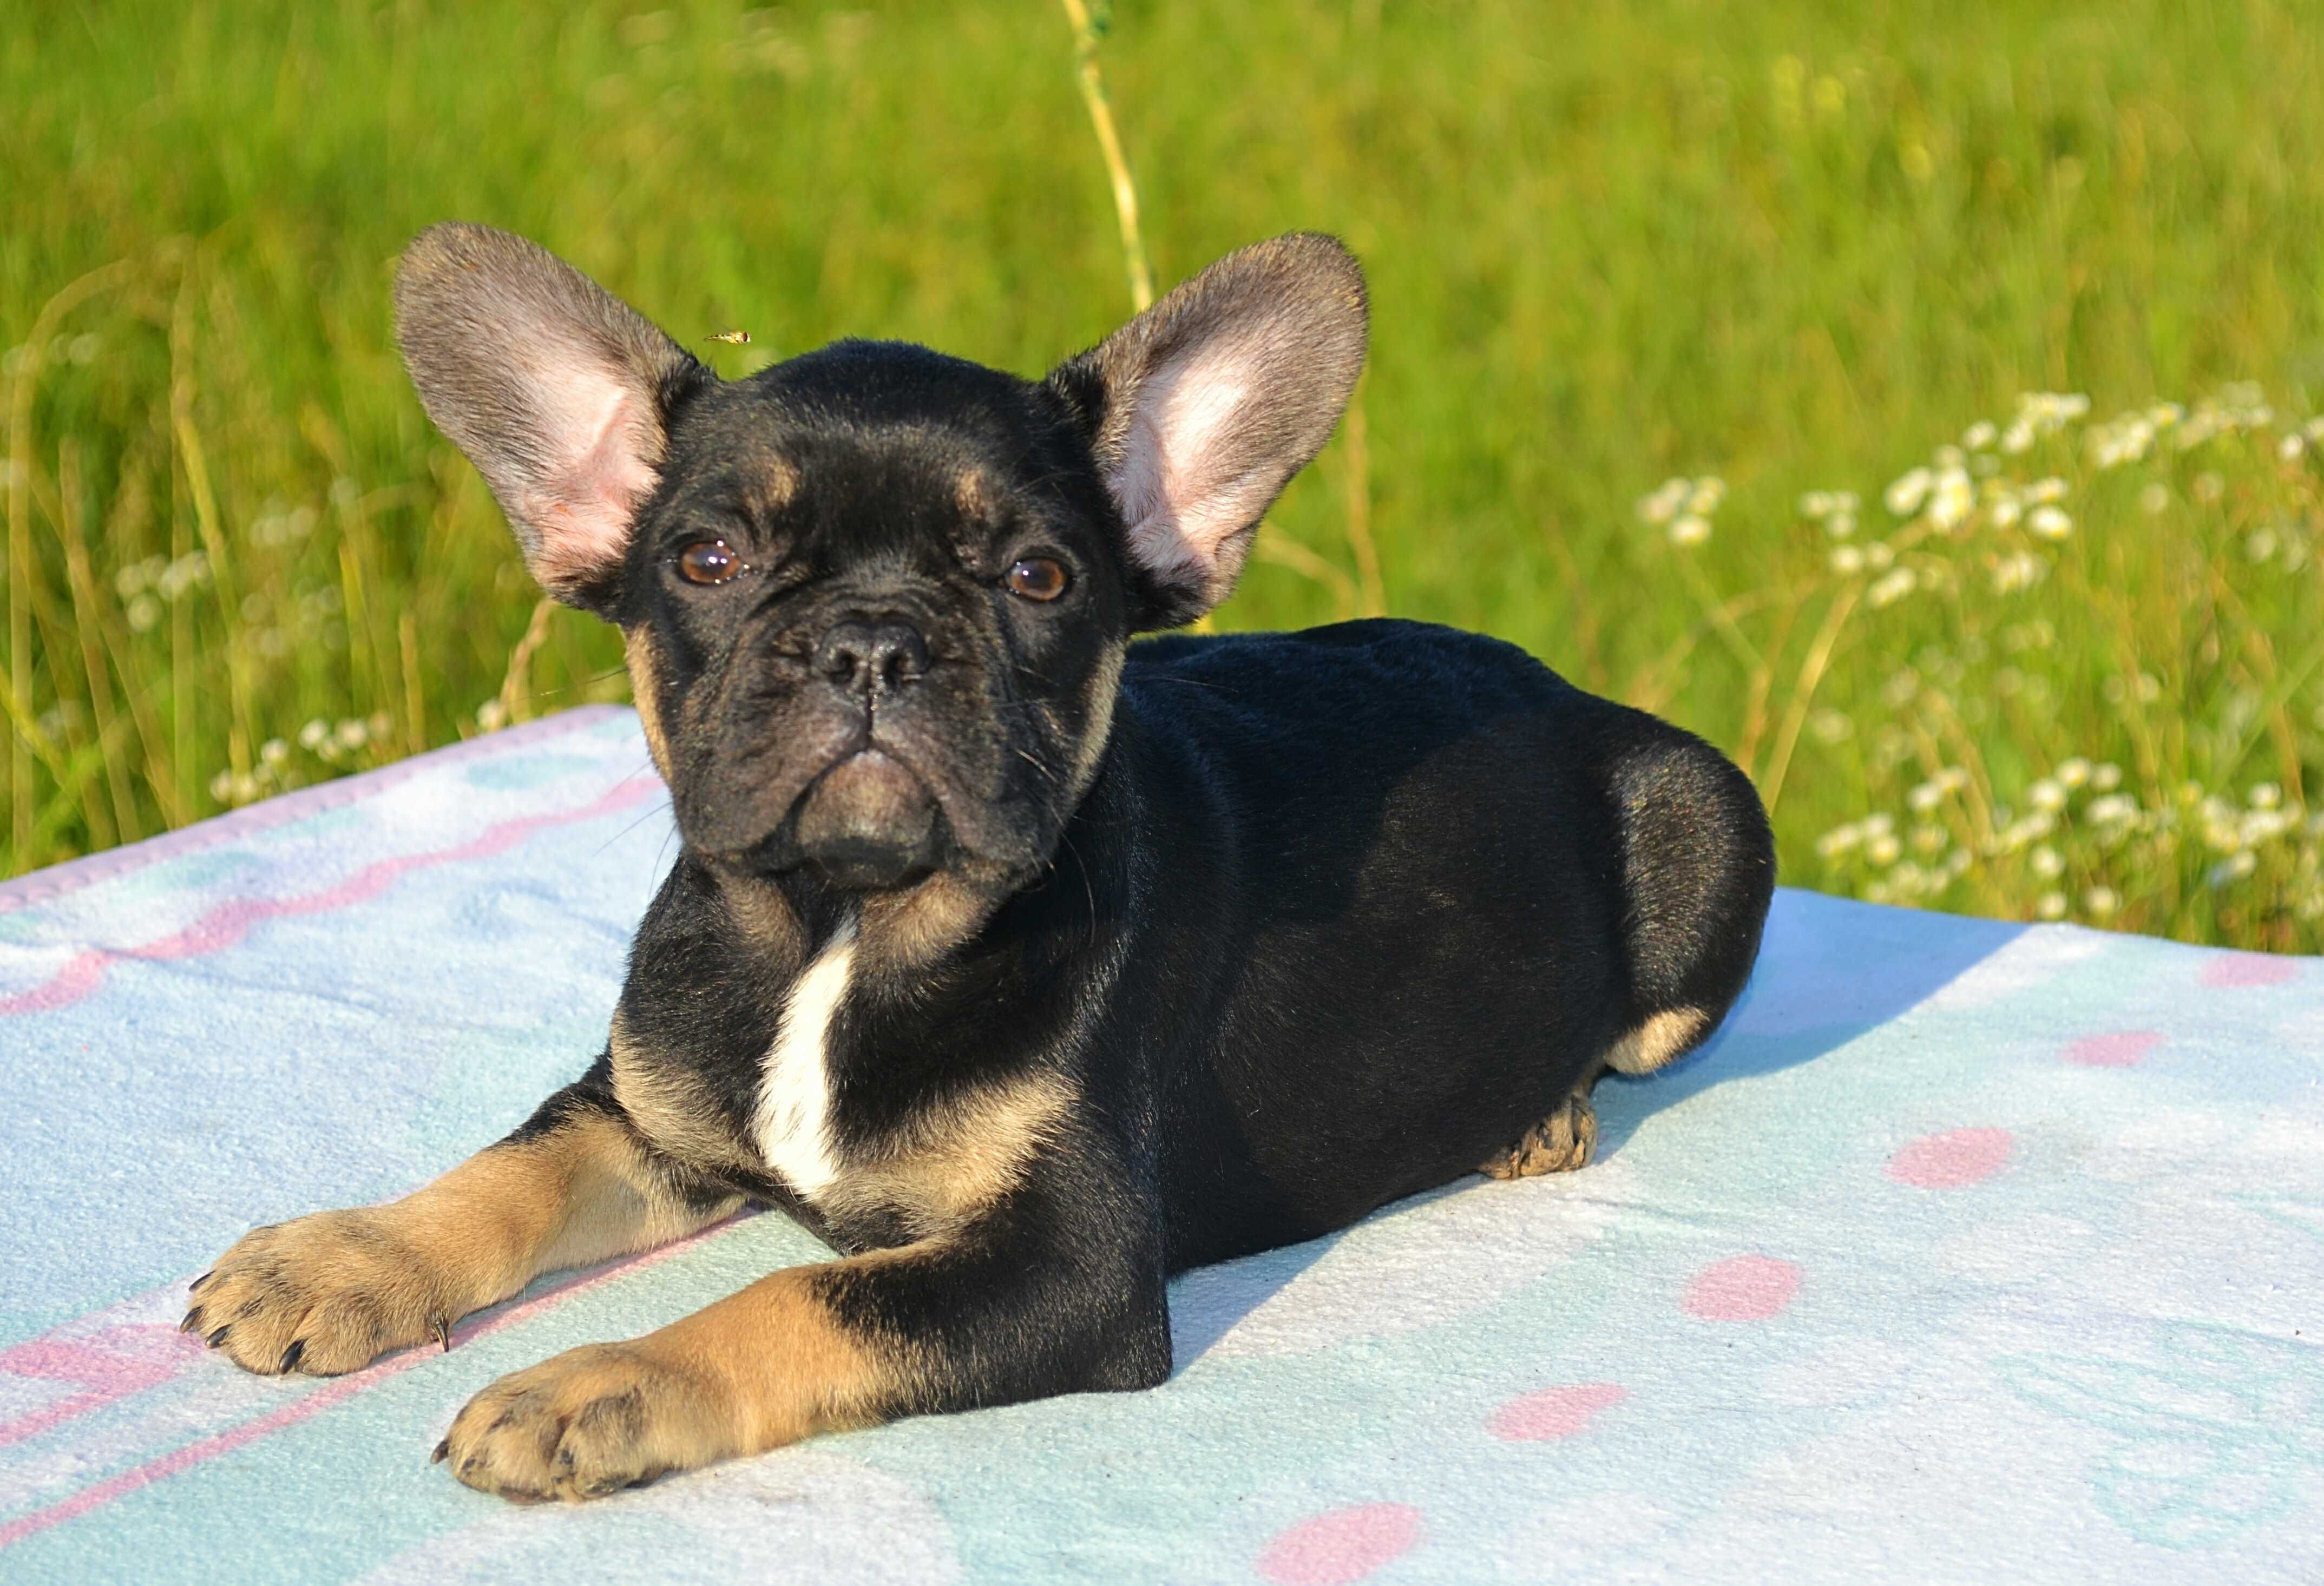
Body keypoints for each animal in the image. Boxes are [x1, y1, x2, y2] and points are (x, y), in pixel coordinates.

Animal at [186, 220, 1775, 1504]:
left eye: (1037, 577)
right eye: (705, 562)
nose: (872, 638)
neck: (840, 925)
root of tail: (1558, 688)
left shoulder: (1064, 1269)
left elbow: (800, 1298)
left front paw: (603, 1379)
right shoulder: (651, 1108)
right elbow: (509, 1168)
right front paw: (347, 1254)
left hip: (1700, 822)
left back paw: (1541, 1112)